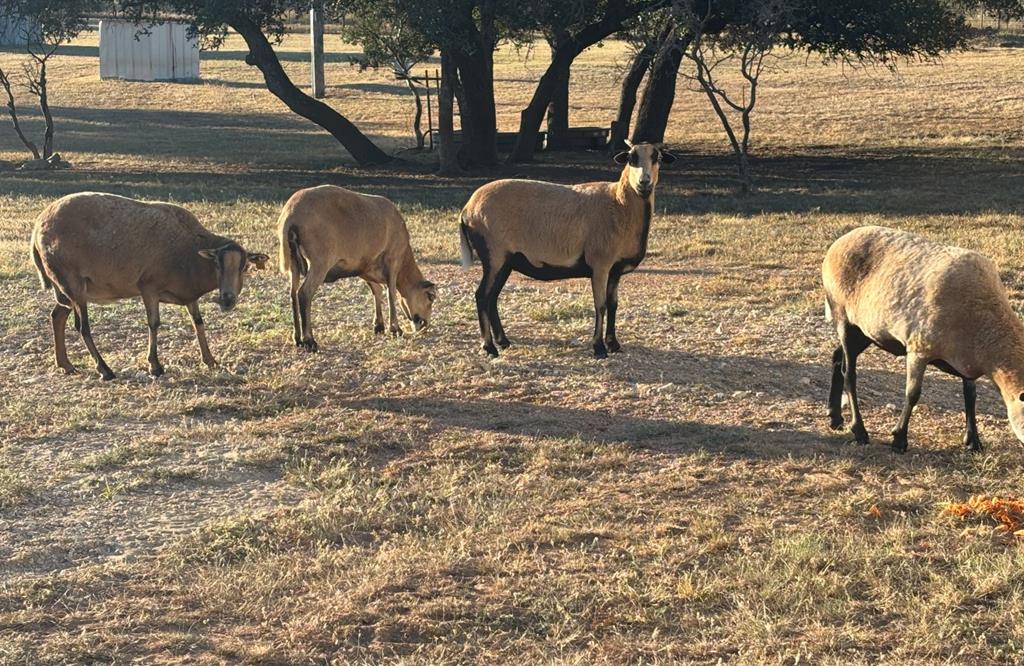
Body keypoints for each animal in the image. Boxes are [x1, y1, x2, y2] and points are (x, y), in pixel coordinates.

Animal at [30, 192, 270, 380]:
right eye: (218, 265)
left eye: (244, 267)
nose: (228, 300)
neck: (189, 253)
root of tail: (37, 229)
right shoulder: (149, 287)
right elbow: (154, 323)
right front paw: (155, 365)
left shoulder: (189, 296)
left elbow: (198, 322)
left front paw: (210, 360)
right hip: (73, 283)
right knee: (83, 327)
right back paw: (104, 370)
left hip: (66, 288)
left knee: (57, 316)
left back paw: (65, 364)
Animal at [277, 185, 437, 352]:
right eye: (430, 296)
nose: (424, 326)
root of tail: (291, 215)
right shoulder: (393, 259)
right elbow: (391, 293)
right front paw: (396, 329)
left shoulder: (365, 267)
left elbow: (377, 291)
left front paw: (379, 326)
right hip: (319, 261)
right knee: (304, 294)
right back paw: (309, 341)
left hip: (293, 262)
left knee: (293, 294)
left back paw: (297, 339)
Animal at [459, 141, 675, 358]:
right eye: (631, 157)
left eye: (657, 157)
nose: (644, 182)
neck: (620, 204)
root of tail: (467, 209)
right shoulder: (600, 264)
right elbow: (601, 305)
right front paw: (599, 348)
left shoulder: (615, 271)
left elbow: (613, 305)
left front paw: (613, 344)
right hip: (494, 254)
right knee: (482, 296)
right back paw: (489, 347)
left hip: (506, 261)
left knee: (492, 297)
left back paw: (503, 341)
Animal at [823, 225, 1024, 453]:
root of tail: (838, 243)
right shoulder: (919, 348)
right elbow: (912, 394)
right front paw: (899, 439)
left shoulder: (966, 362)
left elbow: (970, 396)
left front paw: (973, 441)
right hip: (843, 316)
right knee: (849, 374)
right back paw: (859, 431)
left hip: (867, 329)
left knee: (837, 357)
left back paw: (835, 417)